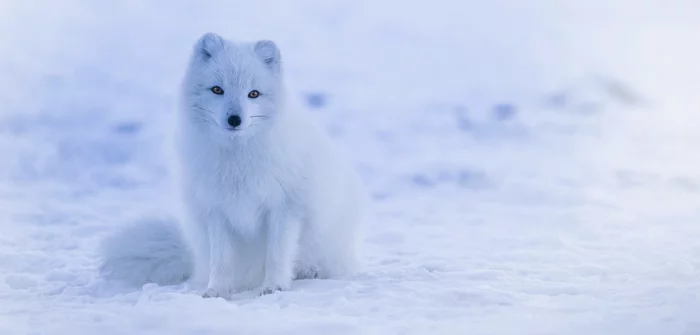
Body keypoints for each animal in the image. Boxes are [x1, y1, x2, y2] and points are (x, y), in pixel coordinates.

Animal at [102, 32, 372, 298]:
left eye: (253, 93)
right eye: (217, 89)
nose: (234, 119)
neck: (237, 160)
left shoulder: (285, 208)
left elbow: (278, 254)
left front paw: (274, 286)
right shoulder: (216, 210)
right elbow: (221, 260)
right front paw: (217, 291)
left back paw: (309, 271)